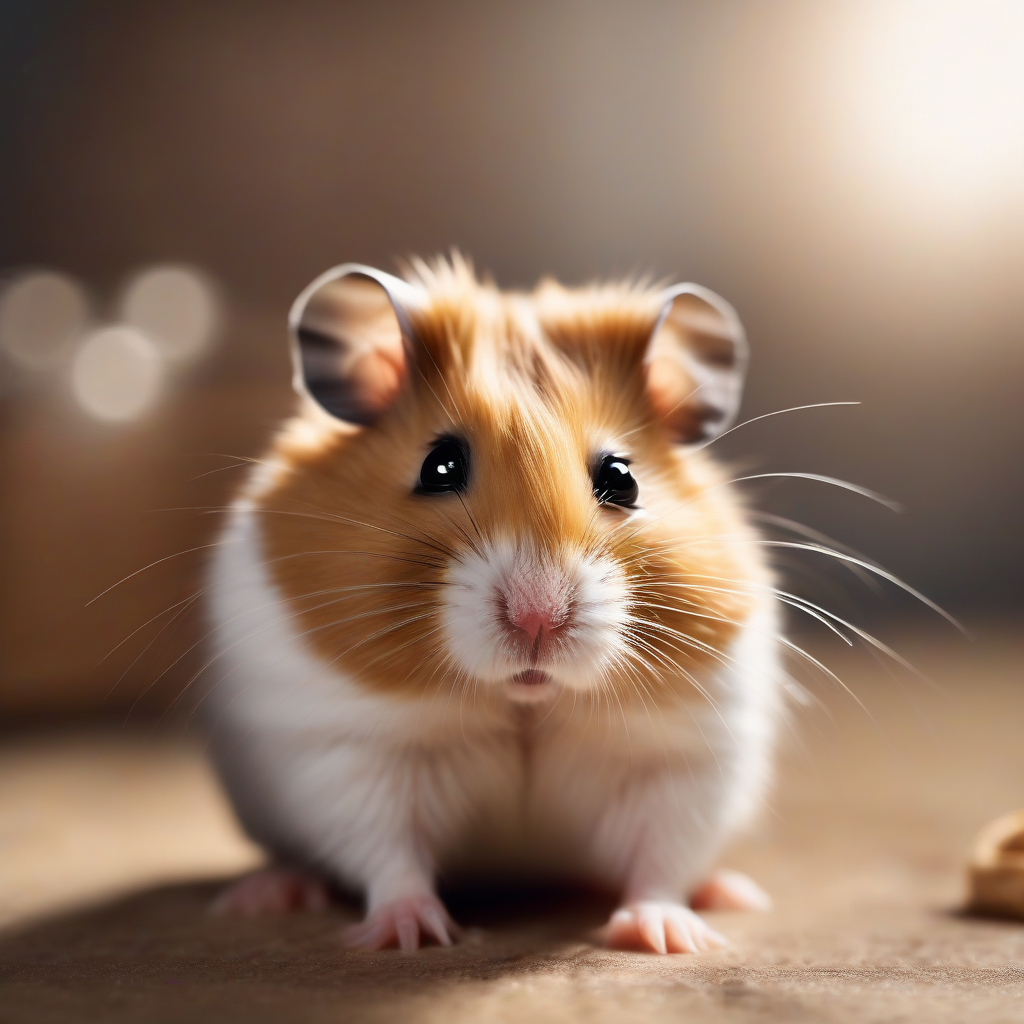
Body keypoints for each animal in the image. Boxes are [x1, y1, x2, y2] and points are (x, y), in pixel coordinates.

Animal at [205, 254, 781, 954]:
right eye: (439, 466)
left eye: (622, 479)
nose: (538, 619)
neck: (524, 702)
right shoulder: (353, 753)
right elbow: (388, 852)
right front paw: (411, 935)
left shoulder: (676, 758)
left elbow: (663, 857)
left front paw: (665, 937)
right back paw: (260, 897)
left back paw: (731, 892)